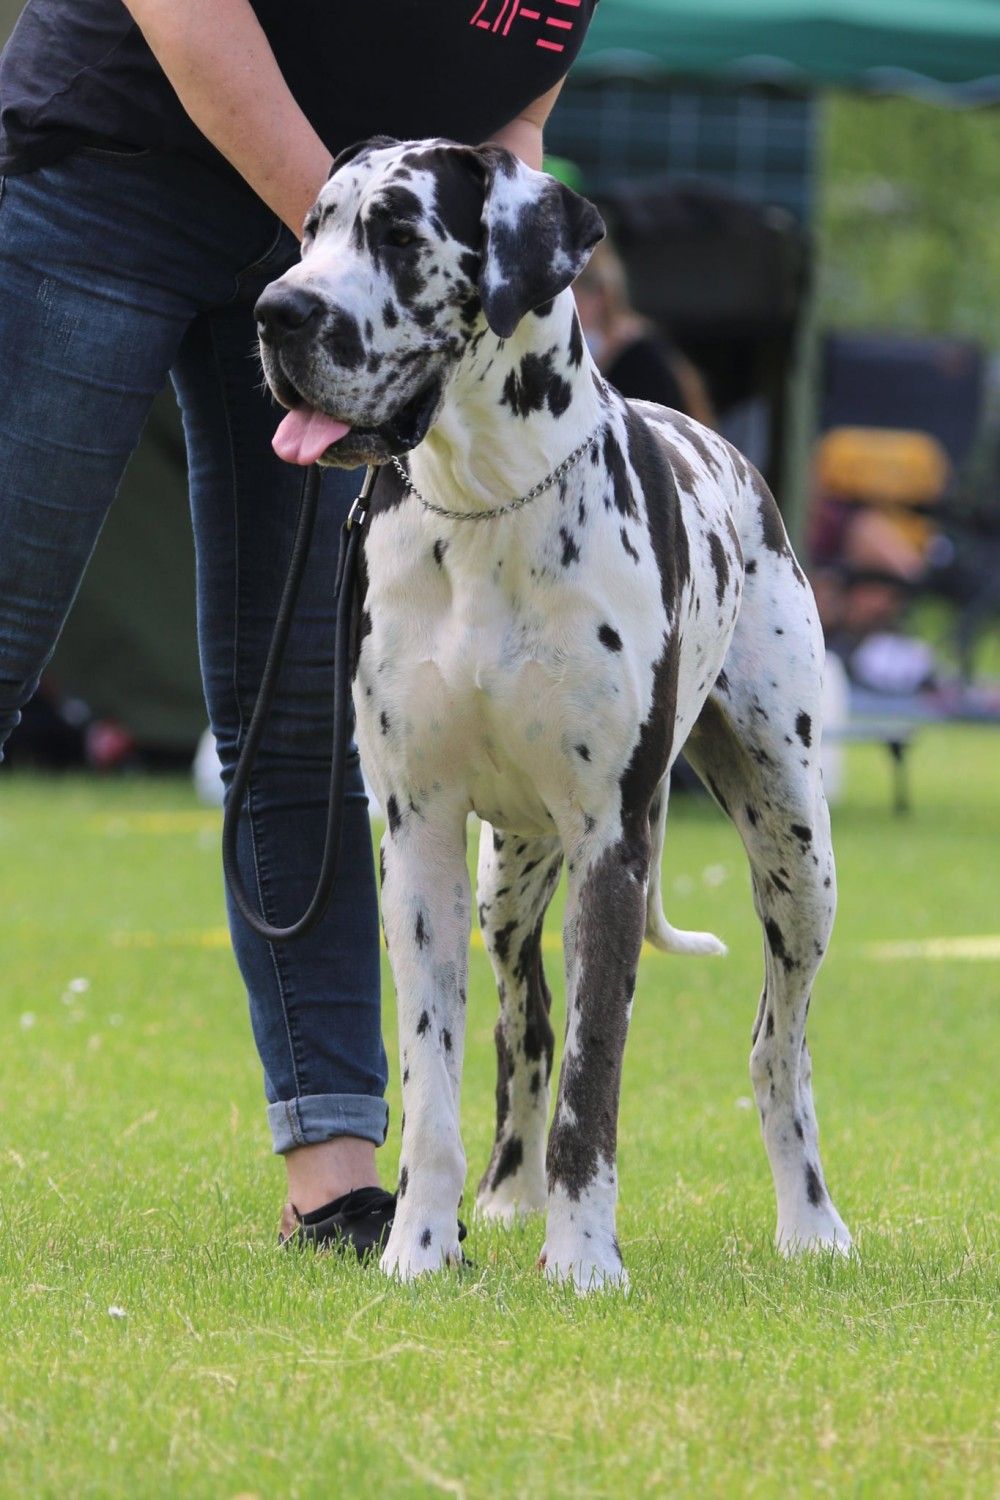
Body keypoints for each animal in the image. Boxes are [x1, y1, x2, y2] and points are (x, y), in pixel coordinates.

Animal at [255, 137, 852, 1289]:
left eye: (399, 232)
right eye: (312, 228)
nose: (277, 311)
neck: (486, 497)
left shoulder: (608, 841)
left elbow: (594, 1080)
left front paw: (583, 1262)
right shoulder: (418, 840)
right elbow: (434, 1080)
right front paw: (419, 1247)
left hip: (794, 851)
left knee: (781, 1048)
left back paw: (811, 1225)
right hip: (505, 875)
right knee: (522, 1023)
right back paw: (507, 1195)